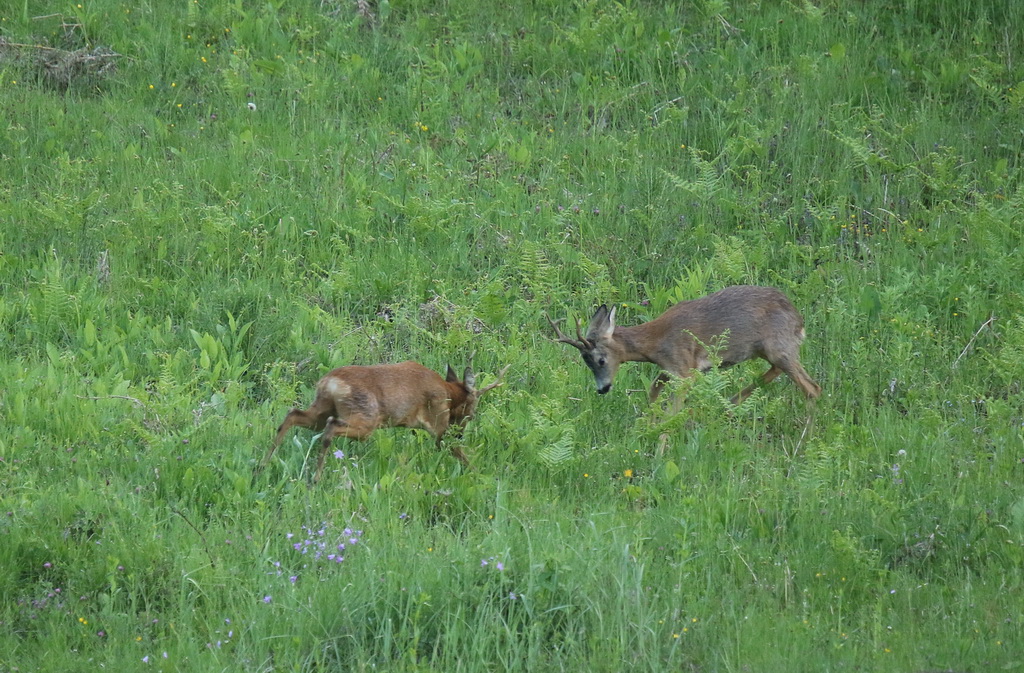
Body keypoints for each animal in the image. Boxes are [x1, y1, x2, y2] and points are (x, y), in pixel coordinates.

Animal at [260, 354, 507, 479]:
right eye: (472, 411)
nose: (461, 432)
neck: (448, 393)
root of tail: (329, 383)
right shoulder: (438, 423)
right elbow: (458, 453)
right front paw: (483, 476)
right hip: (365, 418)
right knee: (331, 428)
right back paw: (315, 478)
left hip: (321, 409)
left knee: (292, 415)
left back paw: (263, 465)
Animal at [544, 284, 823, 409]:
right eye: (586, 363)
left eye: (600, 360)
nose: (602, 389)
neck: (654, 343)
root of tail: (799, 321)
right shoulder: (670, 369)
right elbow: (653, 392)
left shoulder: (684, 368)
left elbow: (672, 408)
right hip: (770, 350)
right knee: (783, 374)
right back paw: (731, 402)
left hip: (779, 346)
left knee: (812, 388)